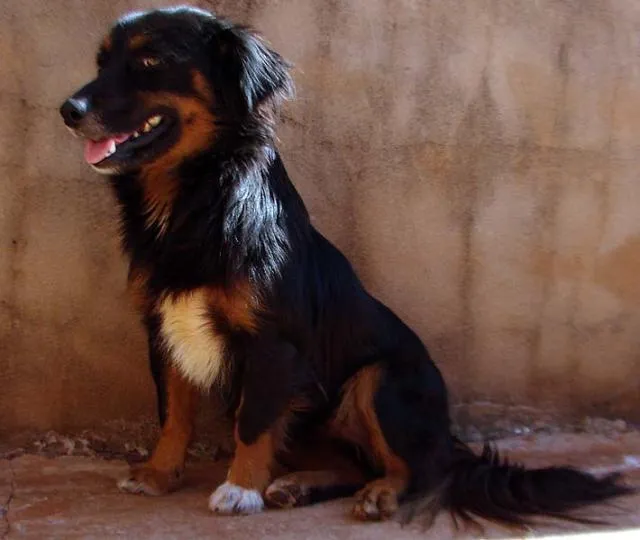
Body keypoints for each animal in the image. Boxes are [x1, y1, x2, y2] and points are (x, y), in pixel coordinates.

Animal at [61, 4, 636, 528]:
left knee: (418, 471)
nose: (67, 109)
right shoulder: (163, 329)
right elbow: (173, 415)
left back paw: (376, 494)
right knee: (356, 464)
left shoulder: (273, 342)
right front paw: (159, 475)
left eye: (150, 61)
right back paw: (299, 485)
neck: (196, 200)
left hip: (382, 380)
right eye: (101, 62)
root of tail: (450, 440)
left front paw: (240, 489)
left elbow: (253, 419)